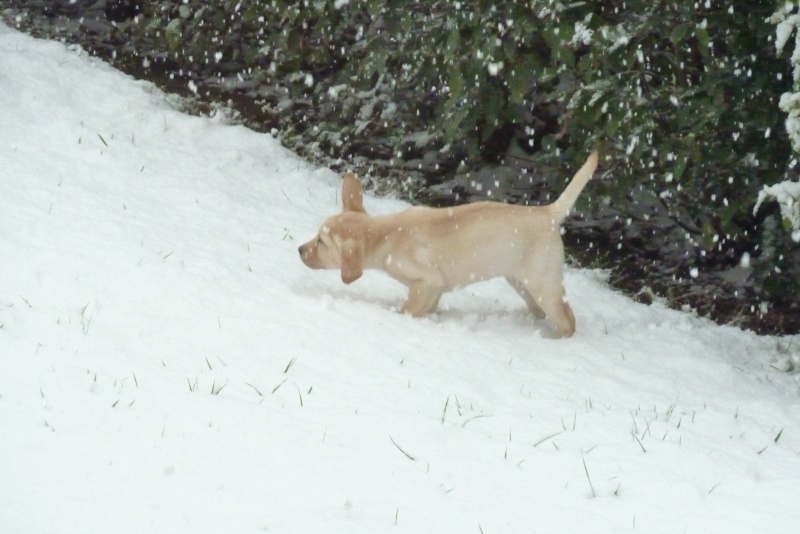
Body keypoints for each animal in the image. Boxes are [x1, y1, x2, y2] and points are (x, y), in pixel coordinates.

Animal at [302, 151, 600, 338]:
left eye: (321, 242)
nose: (299, 250)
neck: (384, 235)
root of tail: (548, 212)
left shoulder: (426, 282)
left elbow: (407, 309)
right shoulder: (435, 289)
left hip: (541, 282)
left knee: (567, 319)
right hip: (521, 282)